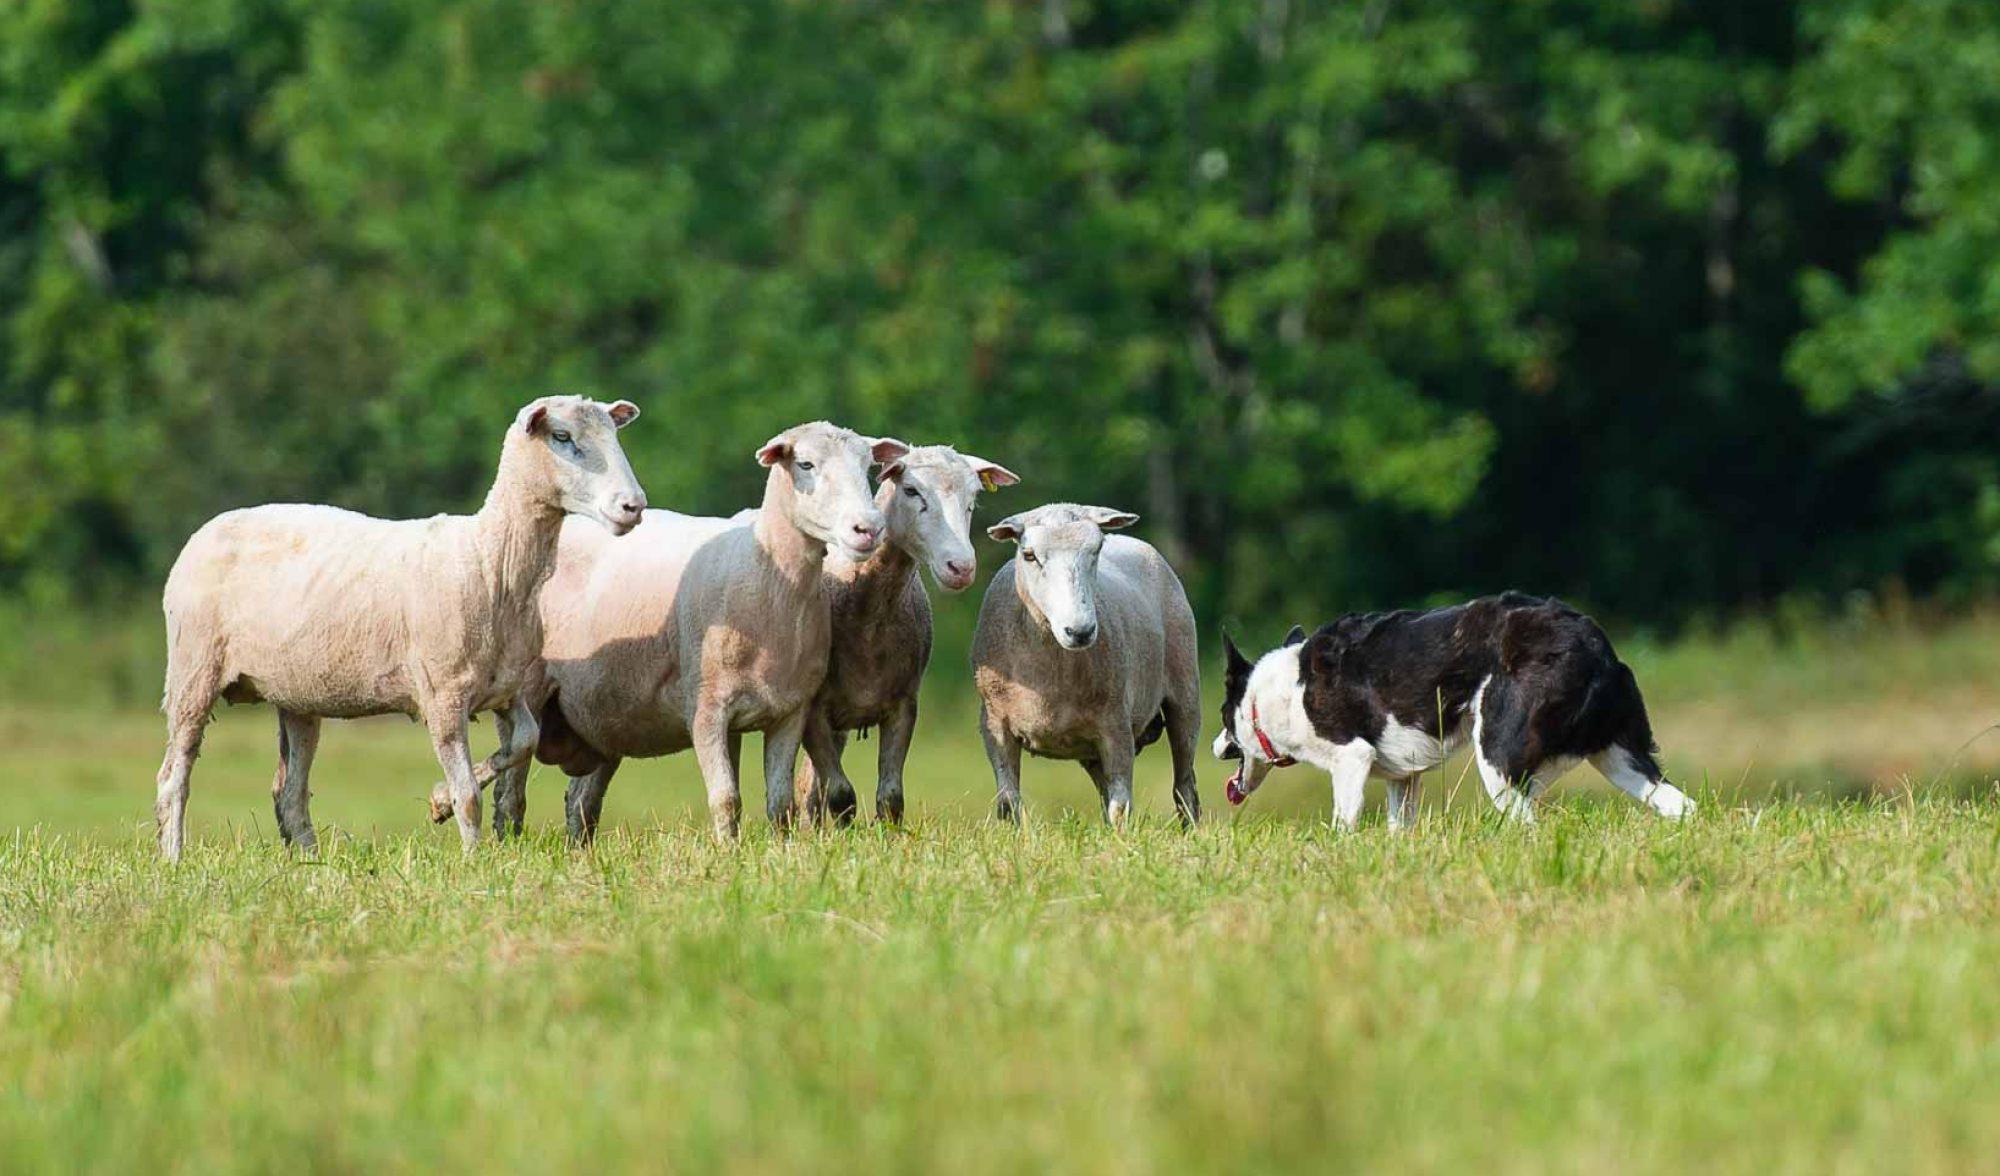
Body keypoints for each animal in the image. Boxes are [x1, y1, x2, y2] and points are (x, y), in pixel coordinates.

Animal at [154, 390, 648, 860]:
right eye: (562, 438)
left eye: (614, 434)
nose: (634, 506)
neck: (490, 561)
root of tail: (206, 530)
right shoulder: (444, 696)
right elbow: (470, 794)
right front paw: (473, 858)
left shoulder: (507, 688)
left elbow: (524, 742)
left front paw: (439, 802)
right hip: (193, 669)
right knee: (174, 776)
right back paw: (173, 858)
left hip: (295, 692)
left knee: (289, 792)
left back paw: (312, 866)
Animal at [488, 418, 912, 840]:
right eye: (805, 464)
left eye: (867, 467)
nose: (868, 528)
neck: (765, 573)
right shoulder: (707, 709)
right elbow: (726, 799)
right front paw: (728, 849)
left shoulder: (790, 713)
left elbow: (781, 805)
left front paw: (781, 848)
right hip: (528, 691)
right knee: (510, 794)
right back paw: (509, 841)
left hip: (603, 711)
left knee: (580, 800)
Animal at [792, 444, 1024, 828]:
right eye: (912, 490)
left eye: (973, 498)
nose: (961, 567)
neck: (870, 612)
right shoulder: (813, 708)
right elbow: (840, 795)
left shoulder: (903, 703)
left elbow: (890, 799)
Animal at [972, 506, 1200, 828]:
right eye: (1029, 555)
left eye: (1097, 549)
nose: (1080, 631)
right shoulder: (994, 723)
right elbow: (1008, 803)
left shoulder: (1116, 725)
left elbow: (1121, 807)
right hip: (1091, 748)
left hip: (1185, 692)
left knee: (1184, 784)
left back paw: (1190, 829)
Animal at [1208, 592, 1696, 832]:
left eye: (1222, 716)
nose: (1213, 747)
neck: (1271, 696)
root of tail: (1595, 644)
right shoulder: (1403, 779)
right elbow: (1398, 829)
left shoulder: (1350, 759)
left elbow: (1342, 824)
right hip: (1619, 758)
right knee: (1683, 806)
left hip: (1499, 759)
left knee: (1528, 826)